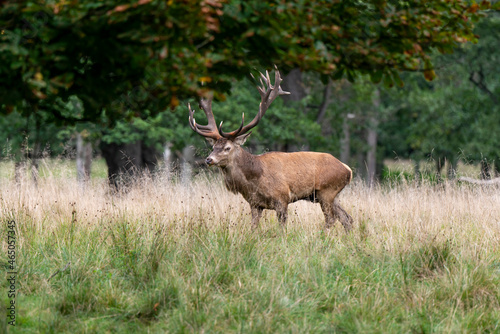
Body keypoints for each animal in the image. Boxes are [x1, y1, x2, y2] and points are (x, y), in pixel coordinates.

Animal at [188, 66, 356, 231]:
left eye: (227, 148)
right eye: (214, 146)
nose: (208, 159)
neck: (253, 181)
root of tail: (347, 169)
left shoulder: (282, 198)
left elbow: (281, 228)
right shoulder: (254, 204)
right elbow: (253, 228)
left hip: (327, 191)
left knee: (331, 219)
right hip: (330, 195)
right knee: (347, 218)